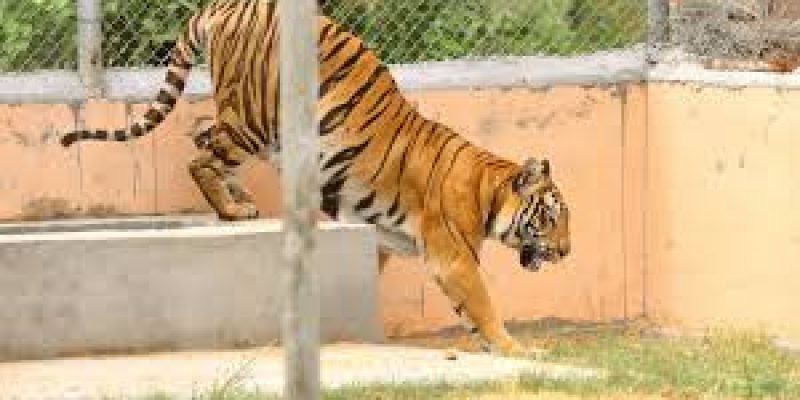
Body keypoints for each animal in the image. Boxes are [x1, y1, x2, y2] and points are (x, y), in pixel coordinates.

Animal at [60, 0, 571, 355]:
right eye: (550, 217)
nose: (566, 252)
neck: (488, 190)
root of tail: (225, 5)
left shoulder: (380, 238)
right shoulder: (455, 257)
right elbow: (484, 307)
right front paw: (518, 351)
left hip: (249, 124)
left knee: (201, 136)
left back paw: (241, 201)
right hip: (251, 120)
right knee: (201, 159)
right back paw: (232, 209)